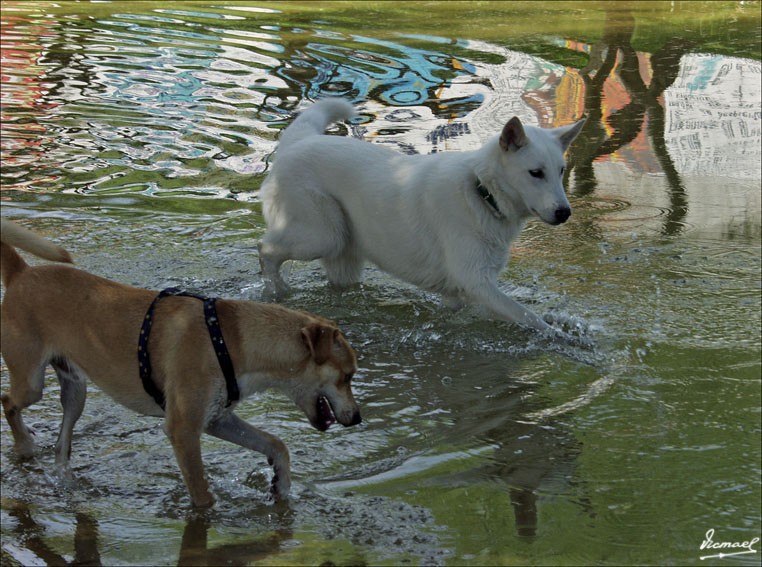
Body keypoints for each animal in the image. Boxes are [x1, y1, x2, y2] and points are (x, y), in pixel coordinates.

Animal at [0, 220, 360, 508]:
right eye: (347, 376)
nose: (357, 418)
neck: (231, 340)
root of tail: (22, 272)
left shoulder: (217, 418)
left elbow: (276, 444)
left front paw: (281, 484)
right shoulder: (184, 429)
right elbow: (202, 493)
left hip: (75, 390)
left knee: (61, 445)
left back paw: (63, 477)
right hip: (32, 382)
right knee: (8, 402)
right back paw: (24, 444)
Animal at [258, 97, 584, 342]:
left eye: (561, 170)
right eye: (535, 173)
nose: (564, 212)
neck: (481, 192)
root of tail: (300, 141)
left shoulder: (457, 292)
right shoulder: (477, 283)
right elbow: (529, 317)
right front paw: (564, 338)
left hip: (343, 257)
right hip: (323, 235)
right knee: (265, 249)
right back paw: (277, 292)